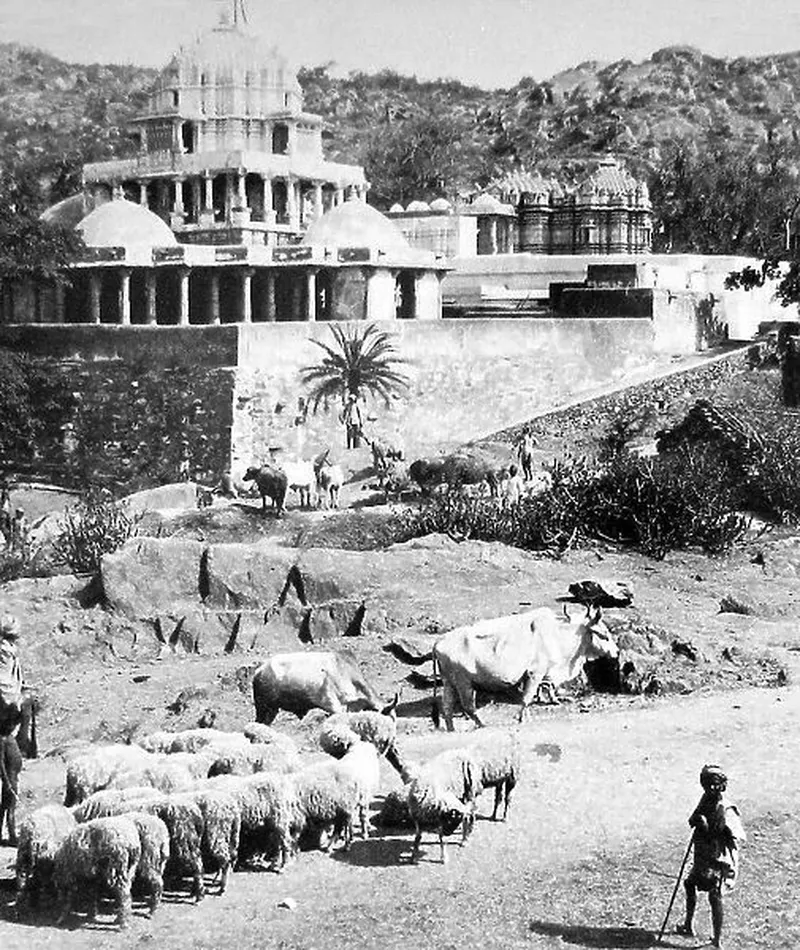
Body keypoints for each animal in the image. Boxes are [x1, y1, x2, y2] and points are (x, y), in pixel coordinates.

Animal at [434, 608, 616, 732]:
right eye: (604, 634)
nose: (616, 652)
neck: (558, 637)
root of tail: (439, 641)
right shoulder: (535, 673)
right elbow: (526, 698)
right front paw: (521, 718)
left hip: (449, 682)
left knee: (447, 707)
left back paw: (452, 729)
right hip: (463, 682)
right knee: (468, 706)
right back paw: (482, 724)